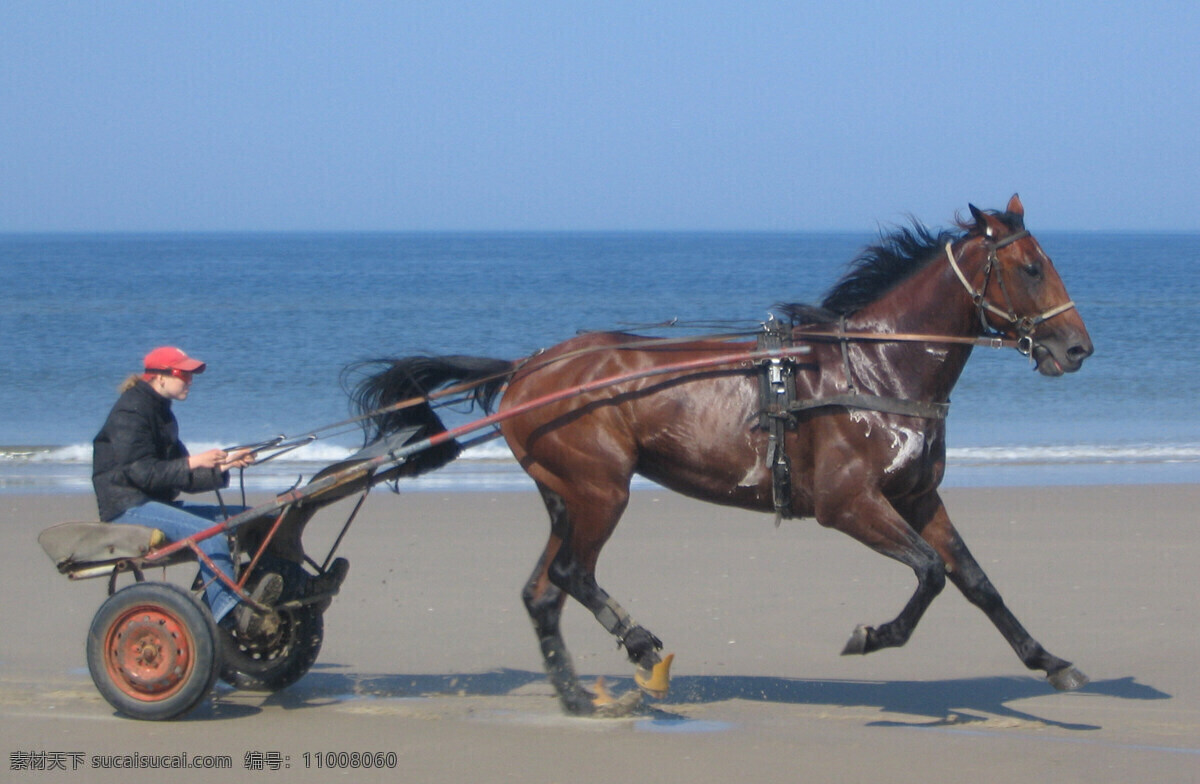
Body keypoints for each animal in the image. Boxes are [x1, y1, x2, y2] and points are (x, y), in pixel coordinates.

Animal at [350, 192, 1094, 710]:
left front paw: (1051, 661)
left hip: (566, 494)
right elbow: (931, 573)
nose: (1077, 348)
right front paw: (872, 636)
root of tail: (524, 369)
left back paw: (577, 695)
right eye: (1032, 268)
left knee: (542, 593)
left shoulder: (916, 495)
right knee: (569, 574)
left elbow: (976, 581)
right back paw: (637, 641)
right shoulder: (849, 503)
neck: (875, 369)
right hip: (601, 488)